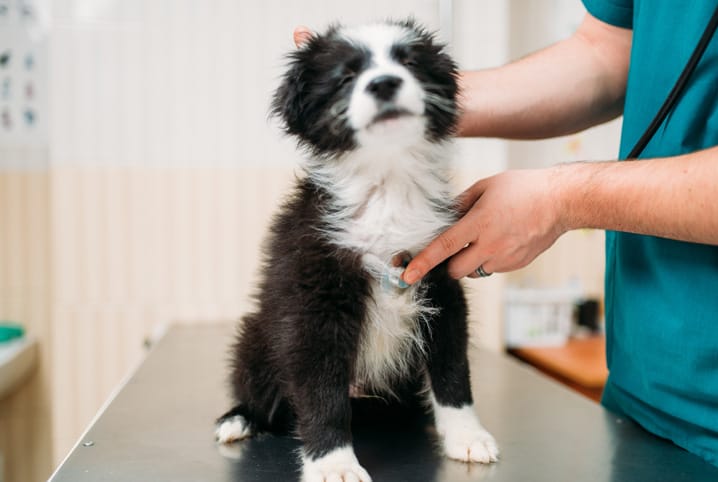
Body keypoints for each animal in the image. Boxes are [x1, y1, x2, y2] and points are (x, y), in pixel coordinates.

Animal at [218, 18, 500, 482]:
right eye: (345, 77)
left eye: (408, 62)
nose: (384, 83)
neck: (386, 183)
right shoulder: (314, 301)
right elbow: (320, 390)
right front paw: (333, 462)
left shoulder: (441, 283)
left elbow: (452, 367)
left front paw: (467, 434)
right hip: (254, 338)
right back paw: (238, 419)